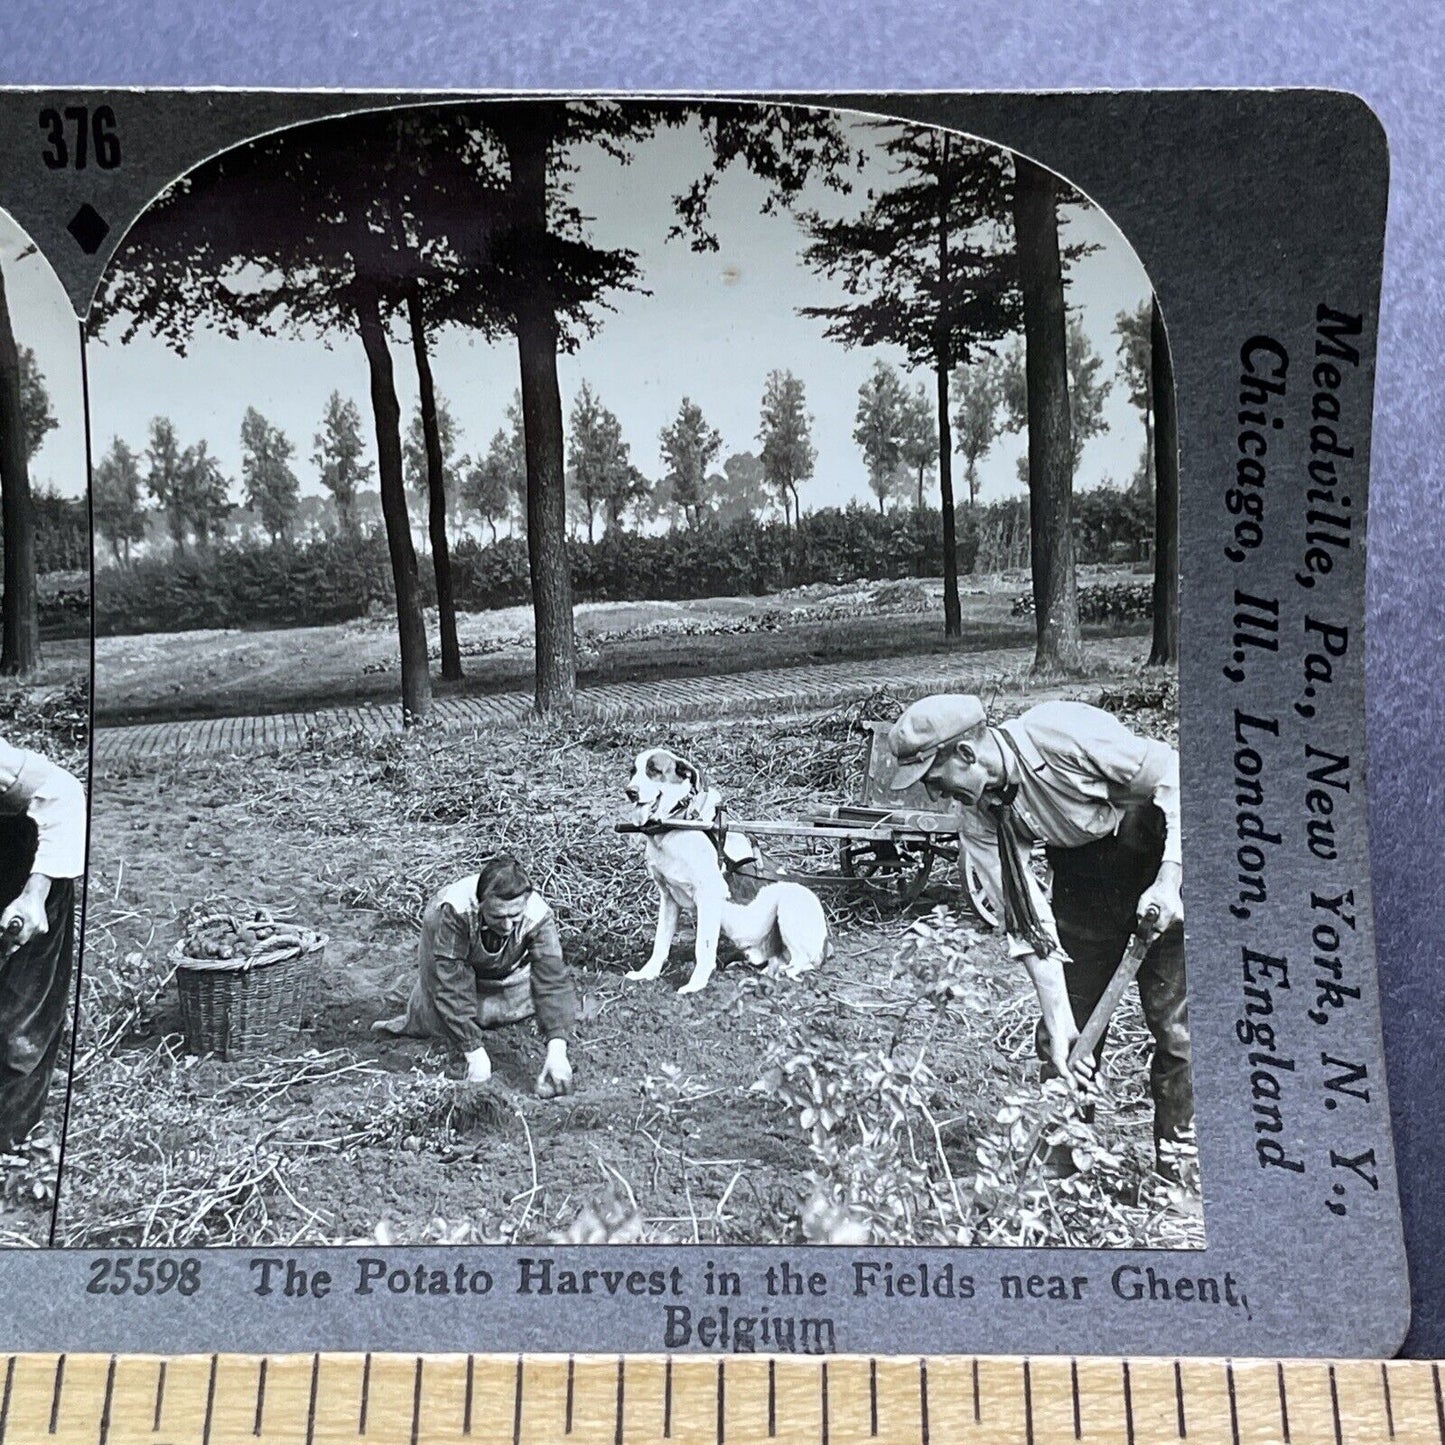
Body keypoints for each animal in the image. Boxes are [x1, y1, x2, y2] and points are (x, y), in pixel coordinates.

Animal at [624, 745, 838, 994]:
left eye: (654, 770)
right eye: (633, 771)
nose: (630, 792)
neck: (677, 824)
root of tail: (826, 943)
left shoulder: (708, 898)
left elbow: (703, 947)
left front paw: (696, 984)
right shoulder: (668, 898)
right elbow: (660, 942)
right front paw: (647, 973)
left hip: (791, 903)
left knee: (804, 961)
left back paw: (783, 972)